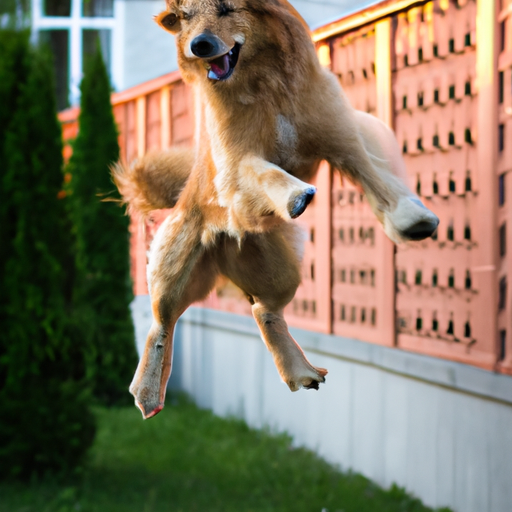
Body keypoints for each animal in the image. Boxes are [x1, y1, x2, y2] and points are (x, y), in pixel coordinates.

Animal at [115, 0, 436, 418]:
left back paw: (301, 372)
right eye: (186, 18)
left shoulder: (339, 135)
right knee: (160, 323)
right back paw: (148, 393)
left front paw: (411, 219)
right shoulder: (238, 162)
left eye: (226, 9)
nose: (199, 46)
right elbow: (261, 170)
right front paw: (295, 195)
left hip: (280, 272)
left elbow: (373, 175)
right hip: (175, 270)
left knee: (264, 311)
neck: (261, 82)